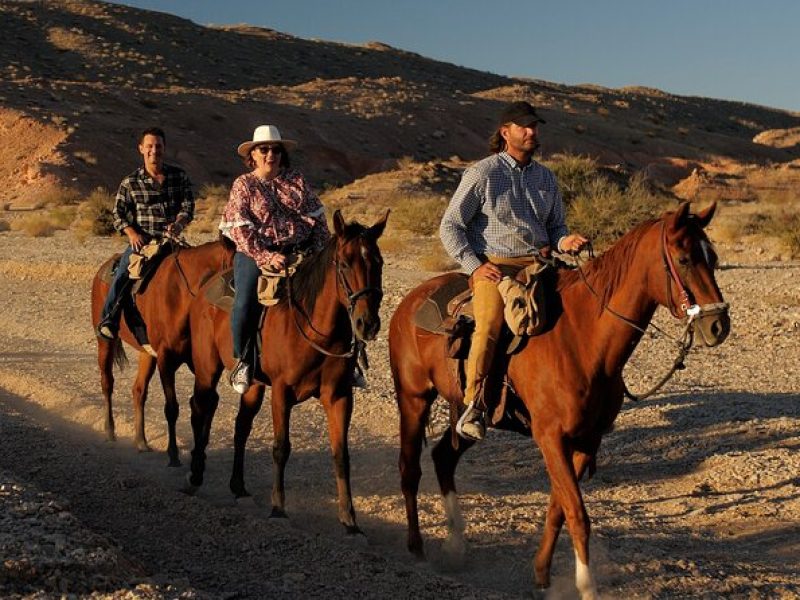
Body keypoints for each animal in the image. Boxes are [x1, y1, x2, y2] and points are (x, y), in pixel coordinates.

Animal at [92, 239, 234, 464]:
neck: (182, 297)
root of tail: (103, 269)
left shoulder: (196, 361)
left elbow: (209, 402)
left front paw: (201, 448)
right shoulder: (166, 359)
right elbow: (172, 407)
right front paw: (173, 453)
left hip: (147, 354)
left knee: (139, 391)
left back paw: (141, 441)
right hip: (105, 342)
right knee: (107, 383)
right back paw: (110, 430)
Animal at [188, 211, 388, 536]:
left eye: (379, 262)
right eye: (344, 263)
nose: (367, 324)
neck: (316, 332)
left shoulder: (339, 396)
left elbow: (341, 455)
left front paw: (350, 521)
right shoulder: (282, 393)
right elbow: (281, 448)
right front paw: (278, 509)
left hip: (254, 386)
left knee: (241, 426)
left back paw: (238, 487)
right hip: (207, 368)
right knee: (200, 408)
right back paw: (194, 475)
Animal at [388, 203, 732, 600]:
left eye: (713, 258)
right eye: (684, 258)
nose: (719, 325)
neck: (583, 339)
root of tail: (410, 302)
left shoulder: (587, 439)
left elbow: (560, 508)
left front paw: (541, 573)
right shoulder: (549, 436)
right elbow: (577, 514)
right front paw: (587, 586)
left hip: (468, 413)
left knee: (444, 456)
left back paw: (457, 546)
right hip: (413, 399)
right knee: (409, 468)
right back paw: (416, 548)